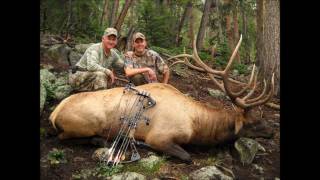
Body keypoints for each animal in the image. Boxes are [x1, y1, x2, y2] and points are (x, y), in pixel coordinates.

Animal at [48, 34, 274, 162]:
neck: (198, 126)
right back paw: (99, 140)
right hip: (86, 123)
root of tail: (53, 114)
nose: (272, 132)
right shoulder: (159, 136)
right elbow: (187, 157)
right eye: (253, 122)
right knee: (63, 137)